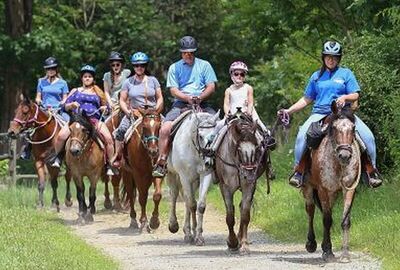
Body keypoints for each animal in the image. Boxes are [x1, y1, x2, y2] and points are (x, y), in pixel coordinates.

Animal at [167, 109, 220, 245]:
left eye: (216, 135)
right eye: (200, 136)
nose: (209, 161)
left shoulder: (205, 175)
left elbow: (200, 205)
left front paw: (198, 236)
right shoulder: (184, 177)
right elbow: (192, 205)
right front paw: (194, 234)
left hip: (193, 181)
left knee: (186, 200)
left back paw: (188, 232)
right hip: (173, 174)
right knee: (175, 195)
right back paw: (174, 226)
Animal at [216, 114, 268, 253]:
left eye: (256, 148)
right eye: (239, 149)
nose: (249, 174)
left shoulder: (249, 186)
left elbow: (245, 214)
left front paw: (243, 243)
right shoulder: (225, 188)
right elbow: (230, 215)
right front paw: (232, 242)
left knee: (241, 208)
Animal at [302, 102, 360, 262]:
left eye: (353, 128)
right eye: (334, 128)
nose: (345, 155)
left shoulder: (349, 189)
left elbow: (345, 220)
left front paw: (345, 254)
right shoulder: (322, 189)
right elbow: (326, 220)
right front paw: (328, 252)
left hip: (333, 193)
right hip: (308, 188)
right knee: (310, 210)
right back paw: (311, 244)